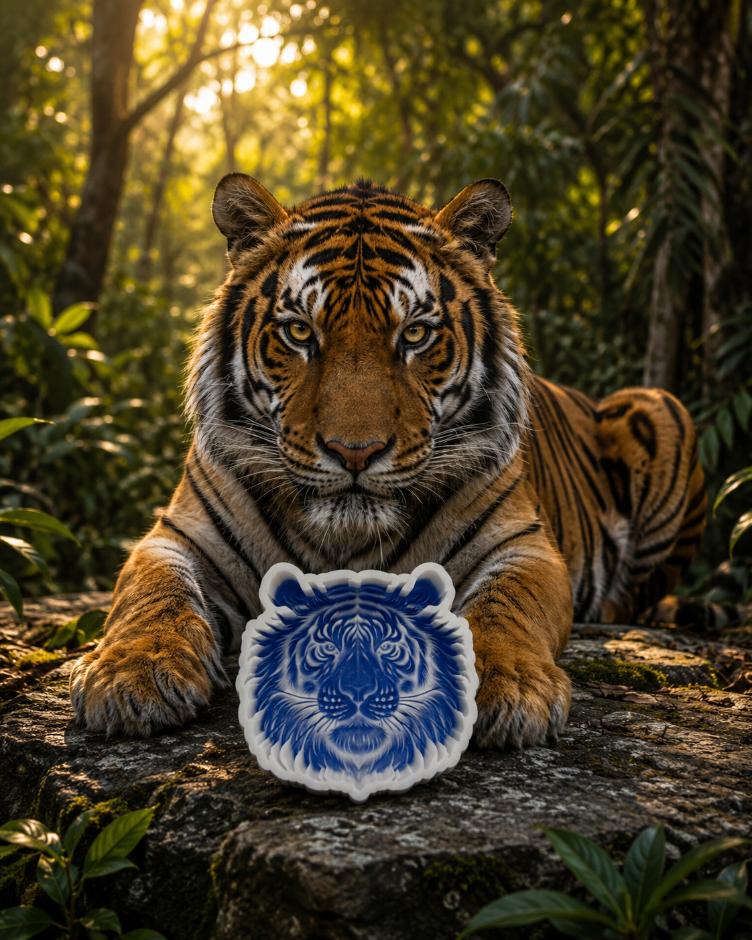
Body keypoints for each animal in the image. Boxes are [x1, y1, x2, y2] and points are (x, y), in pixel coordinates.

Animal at [70, 174, 706, 746]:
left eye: (417, 335)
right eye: (299, 332)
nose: (355, 451)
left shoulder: (522, 546)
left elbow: (507, 607)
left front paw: (505, 686)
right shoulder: (179, 538)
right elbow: (151, 595)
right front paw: (132, 673)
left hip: (659, 407)